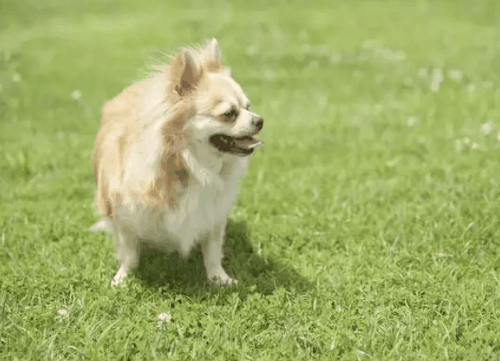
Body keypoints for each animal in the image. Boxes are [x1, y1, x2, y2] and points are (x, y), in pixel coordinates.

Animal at [89, 39, 264, 286]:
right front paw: (124, 277)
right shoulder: (121, 212)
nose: (260, 120)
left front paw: (219, 278)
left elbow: (212, 249)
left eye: (248, 107)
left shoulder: (214, 213)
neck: (190, 163)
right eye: (229, 114)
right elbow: (129, 251)